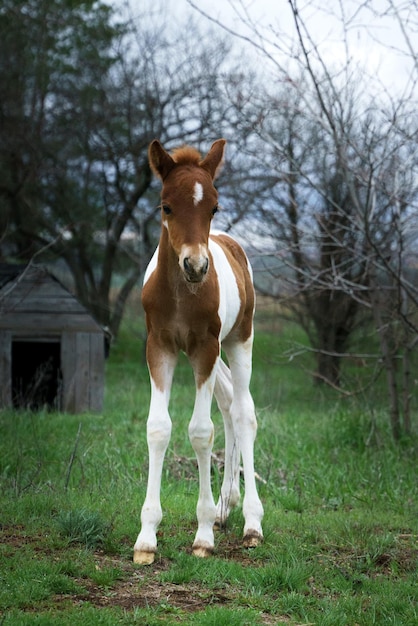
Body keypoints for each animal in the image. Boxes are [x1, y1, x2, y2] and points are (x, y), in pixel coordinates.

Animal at [133, 139, 264, 564]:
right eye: (166, 206)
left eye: (213, 207)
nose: (196, 265)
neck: (180, 294)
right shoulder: (160, 347)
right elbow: (159, 428)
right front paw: (146, 538)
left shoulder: (204, 347)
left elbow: (200, 431)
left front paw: (203, 535)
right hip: (212, 353)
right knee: (227, 404)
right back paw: (226, 506)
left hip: (238, 341)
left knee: (243, 412)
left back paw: (251, 522)